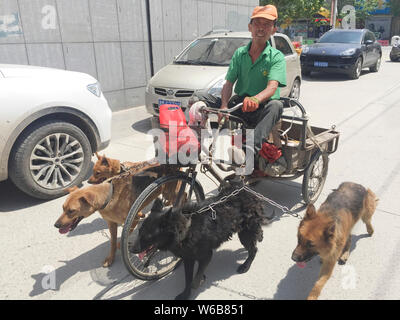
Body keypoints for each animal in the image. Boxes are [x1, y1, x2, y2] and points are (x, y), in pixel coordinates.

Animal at [130, 186, 266, 302]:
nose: (132, 250)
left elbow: (195, 280)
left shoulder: (206, 255)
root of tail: (250, 192)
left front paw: (199, 280)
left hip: (245, 234)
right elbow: (188, 279)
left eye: (147, 237)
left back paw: (245, 266)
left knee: (253, 250)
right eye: (139, 231)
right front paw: (186, 294)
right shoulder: (188, 258)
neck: (186, 229)